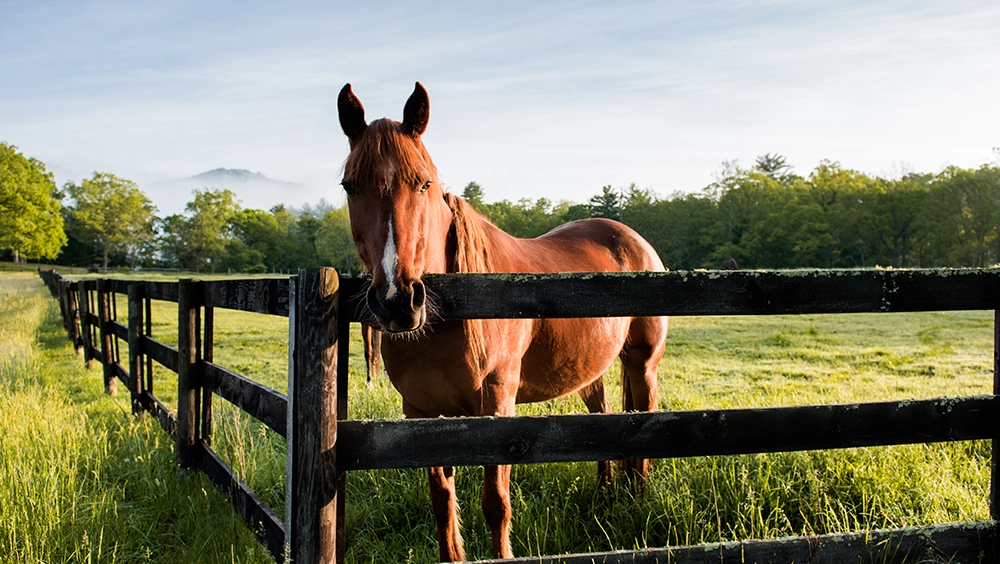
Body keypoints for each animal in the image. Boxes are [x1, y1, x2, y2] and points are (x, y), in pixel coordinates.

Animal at [337, 82, 668, 562]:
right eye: (350, 186)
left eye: (424, 183)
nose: (396, 300)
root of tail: (632, 239)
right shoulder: (420, 411)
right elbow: (442, 502)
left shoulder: (496, 404)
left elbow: (495, 502)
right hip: (590, 370)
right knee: (603, 420)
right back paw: (607, 493)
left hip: (642, 365)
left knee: (642, 426)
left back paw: (635, 503)